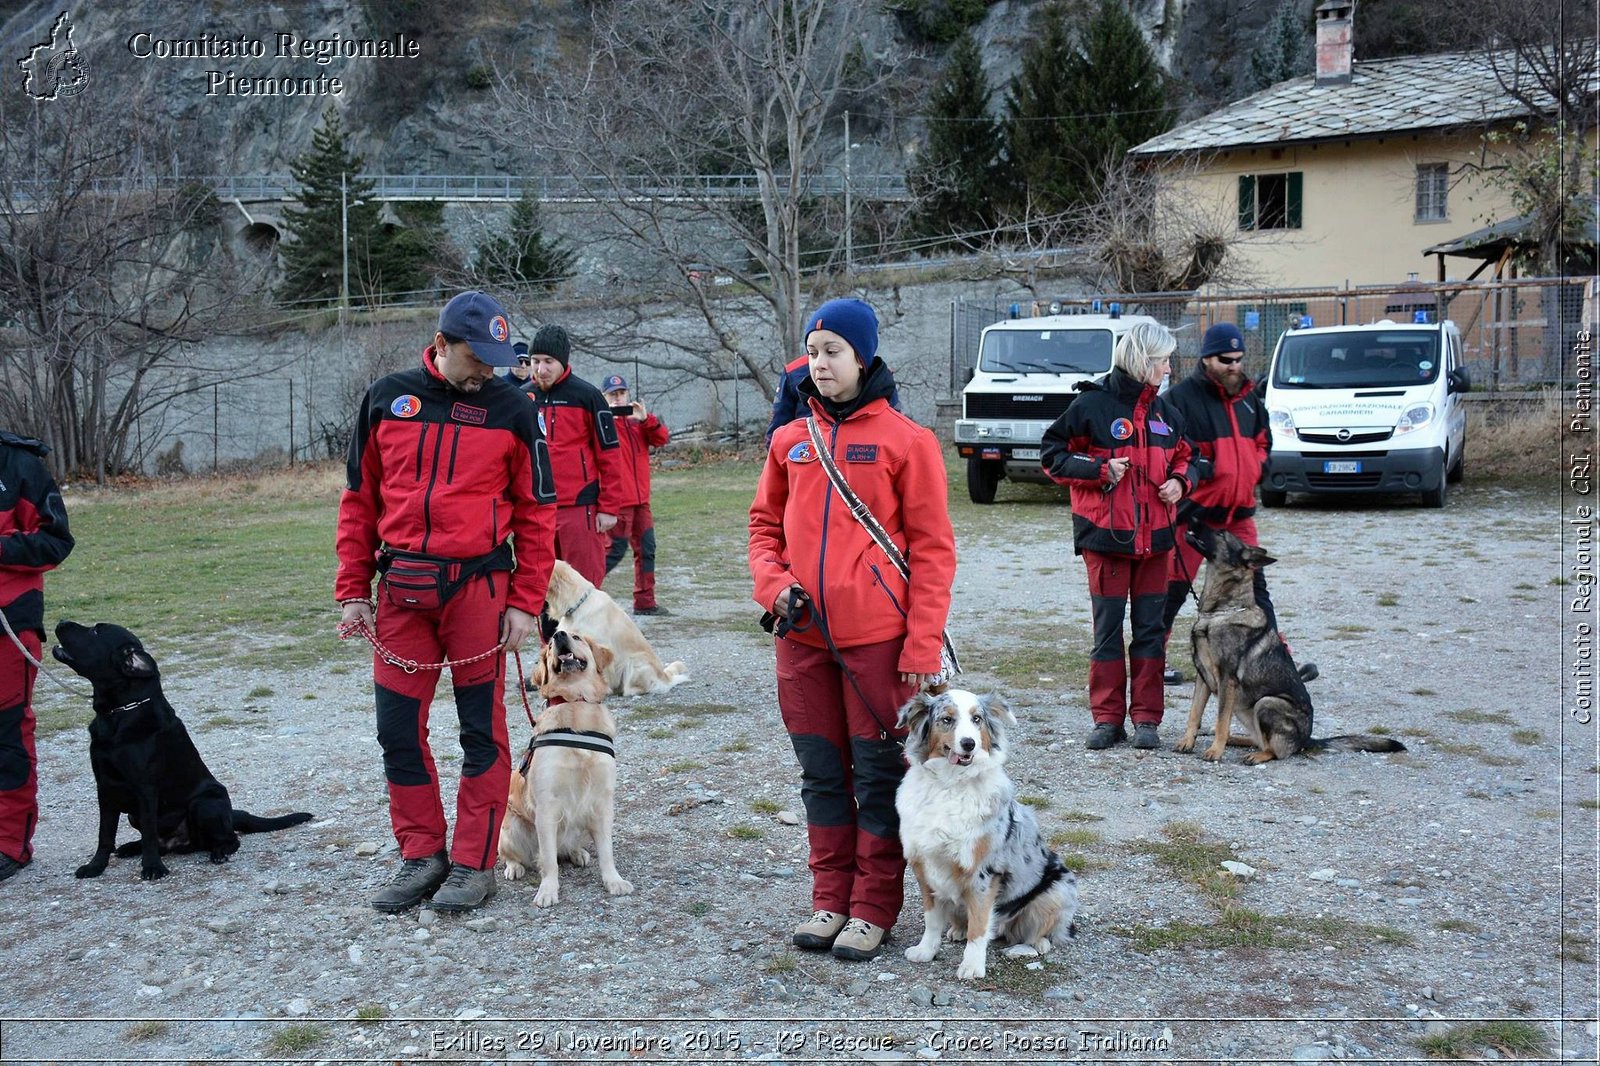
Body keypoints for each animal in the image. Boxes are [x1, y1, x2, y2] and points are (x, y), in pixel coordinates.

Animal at [52, 617, 312, 877]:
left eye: (96, 631)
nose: (62, 620)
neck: (120, 713)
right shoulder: (105, 787)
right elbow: (105, 834)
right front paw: (95, 866)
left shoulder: (146, 789)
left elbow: (147, 833)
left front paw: (153, 867)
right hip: (137, 815)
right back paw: (131, 847)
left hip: (205, 803)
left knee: (229, 840)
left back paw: (218, 852)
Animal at [896, 688, 1081, 979]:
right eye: (947, 719)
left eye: (977, 719)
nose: (969, 744)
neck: (950, 784)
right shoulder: (924, 865)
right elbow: (932, 919)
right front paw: (926, 950)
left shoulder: (984, 872)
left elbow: (980, 926)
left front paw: (972, 966)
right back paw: (957, 930)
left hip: (1058, 890)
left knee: (1047, 931)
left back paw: (1036, 944)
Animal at [1184, 524, 1408, 765]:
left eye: (1221, 534)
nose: (1192, 519)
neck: (1219, 613)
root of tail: (1307, 740)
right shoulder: (1203, 677)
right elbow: (1194, 713)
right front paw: (1187, 742)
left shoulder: (1228, 680)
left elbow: (1221, 720)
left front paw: (1216, 751)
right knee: (1259, 740)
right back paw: (1236, 739)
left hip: (1267, 703)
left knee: (1275, 750)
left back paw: (1255, 754)